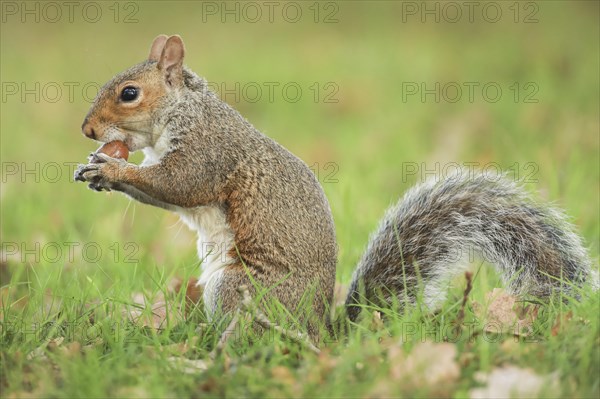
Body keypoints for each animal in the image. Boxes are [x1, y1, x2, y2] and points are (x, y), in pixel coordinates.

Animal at [75, 35, 596, 340]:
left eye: (129, 94)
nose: (87, 130)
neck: (182, 111)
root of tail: (321, 332)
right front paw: (94, 169)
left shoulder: (210, 150)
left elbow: (179, 183)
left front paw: (113, 170)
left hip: (241, 288)